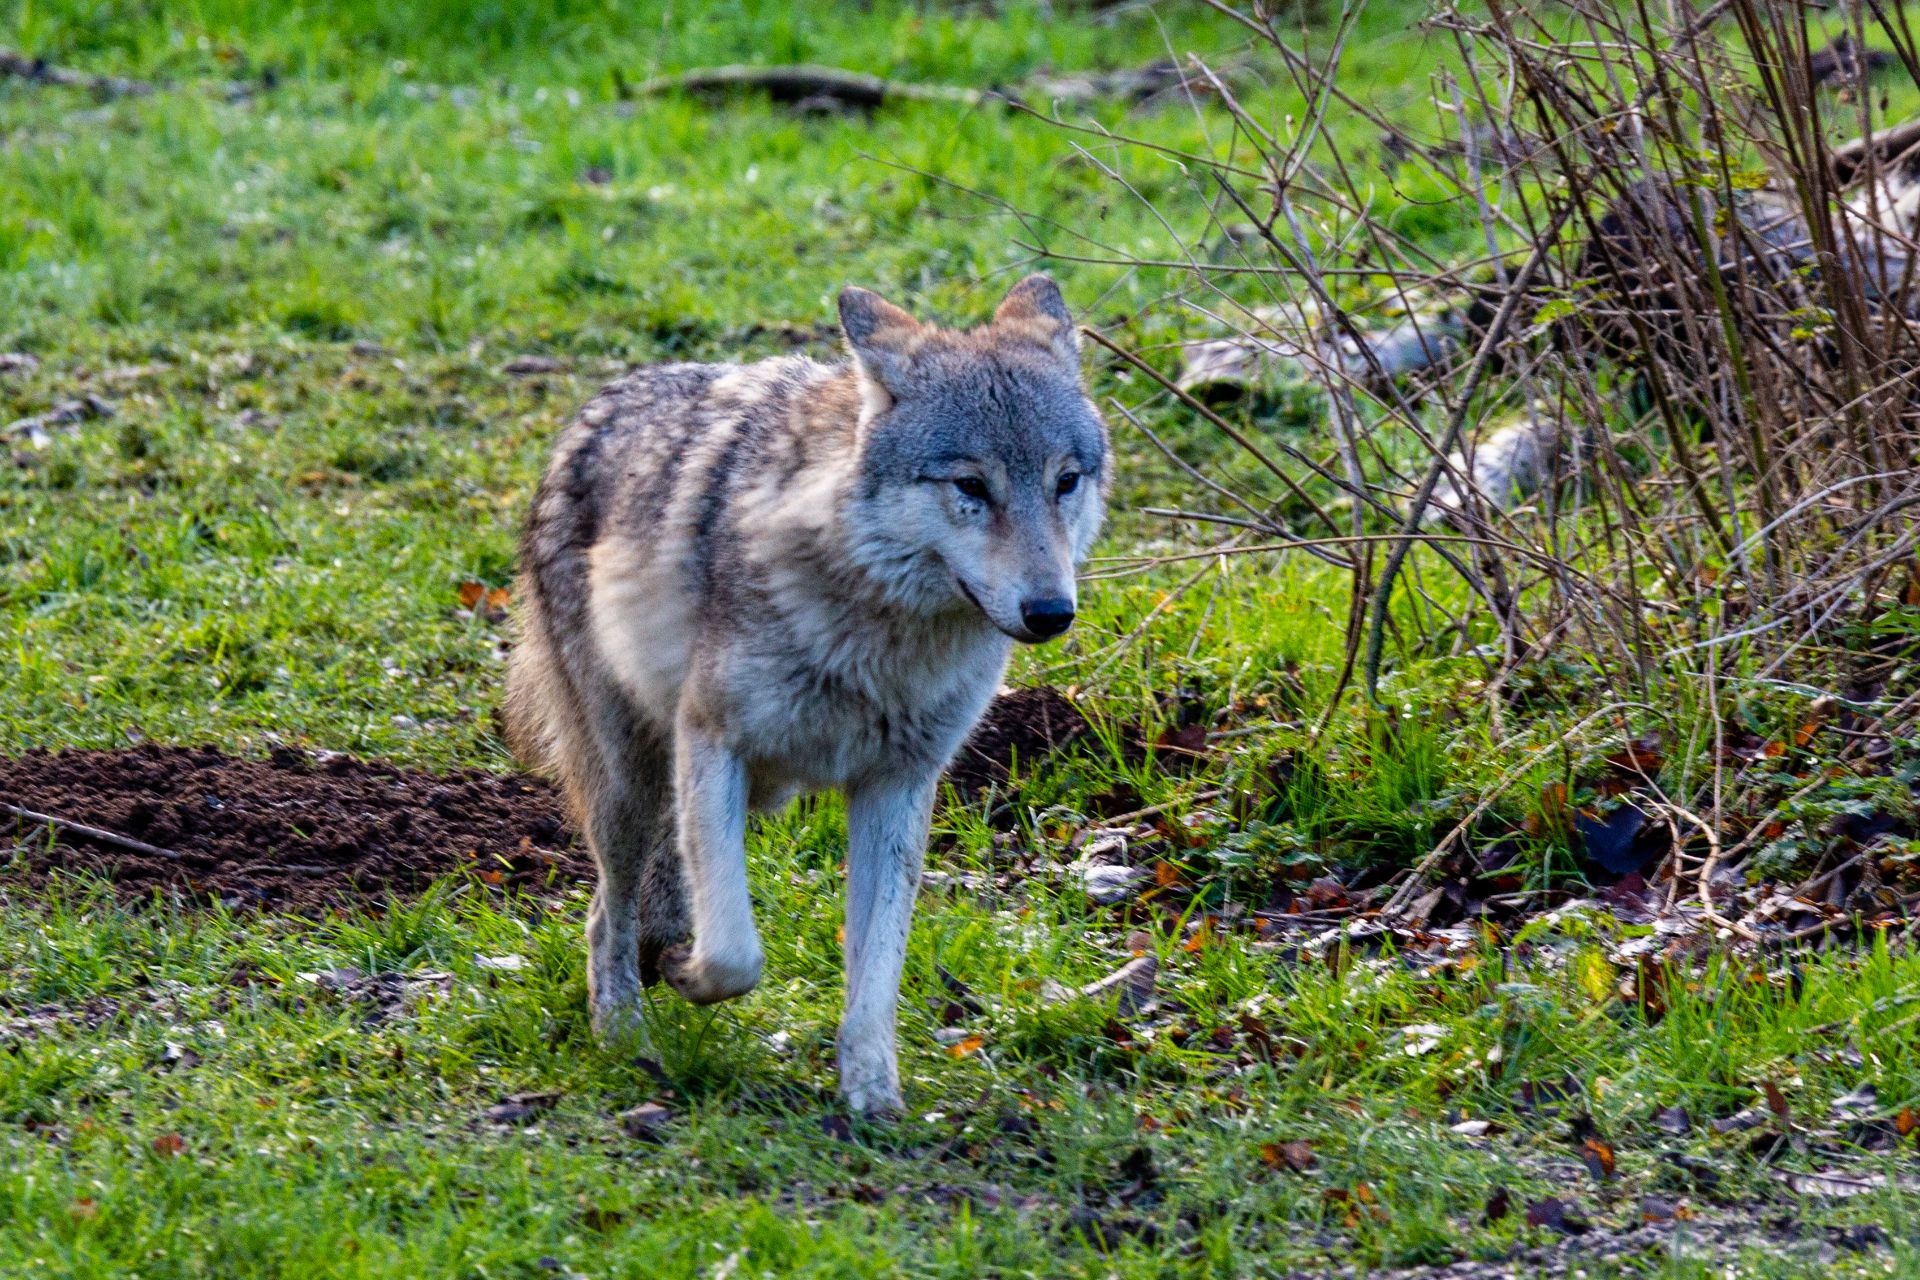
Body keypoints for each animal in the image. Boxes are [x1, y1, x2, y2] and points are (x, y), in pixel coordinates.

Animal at [504, 275, 1108, 1114]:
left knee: (657, 884)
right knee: (605, 913)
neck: (879, 636)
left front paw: (873, 1096)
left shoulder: (899, 785)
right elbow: (735, 953)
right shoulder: (710, 738)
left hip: (736, 792)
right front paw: (690, 975)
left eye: (1064, 481)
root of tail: (596, 407)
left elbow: (877, 969)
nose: (1051, 612)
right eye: (970, 487)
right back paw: (624, 1032)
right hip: (633, 784)